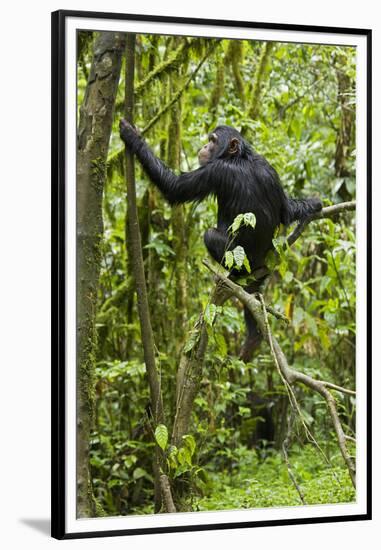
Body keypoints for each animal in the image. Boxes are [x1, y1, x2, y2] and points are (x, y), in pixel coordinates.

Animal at [119, 121, 320, 362]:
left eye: (213, 141)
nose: (205, 145)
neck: (239, 157)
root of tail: (260, 263)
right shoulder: (270, 170)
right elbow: (286, 210)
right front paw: (314, 204)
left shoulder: (215, 171)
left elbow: (175, 188)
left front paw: (131, 136)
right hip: (262, 268)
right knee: (254, 293)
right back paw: (253, 338)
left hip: (243, 261)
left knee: (209, 235)